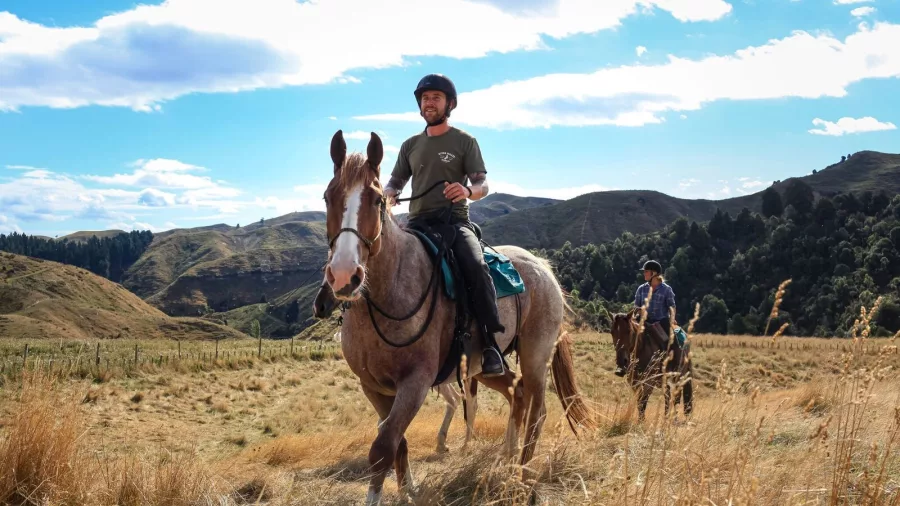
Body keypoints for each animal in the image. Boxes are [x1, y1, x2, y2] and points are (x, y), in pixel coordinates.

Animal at [321, 130, 595, 505]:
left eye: (376, 201)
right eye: (327, 197)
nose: (345, 275)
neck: (388, 296)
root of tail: (542, 266)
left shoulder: (416, 383)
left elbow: (383, 447)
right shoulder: (373, 386)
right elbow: (397, 442)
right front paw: (409, 490)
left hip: (535, 355)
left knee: (537, 410)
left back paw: (522, 473)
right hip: (487, 366)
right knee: (518, 393)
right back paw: (507, 461)